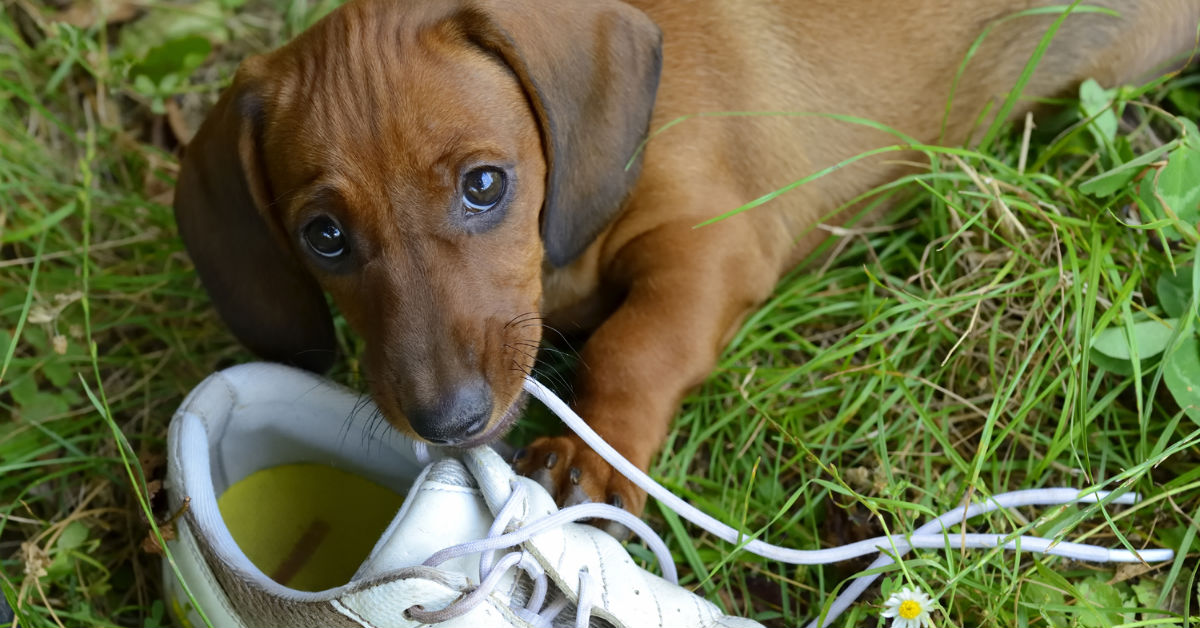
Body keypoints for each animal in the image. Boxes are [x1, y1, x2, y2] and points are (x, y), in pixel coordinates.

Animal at [175, 0, 1200, 516]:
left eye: (485, 185)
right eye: (324, 237)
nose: (452, 421)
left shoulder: (713, 244)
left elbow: (634, 348)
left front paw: (592, 452)